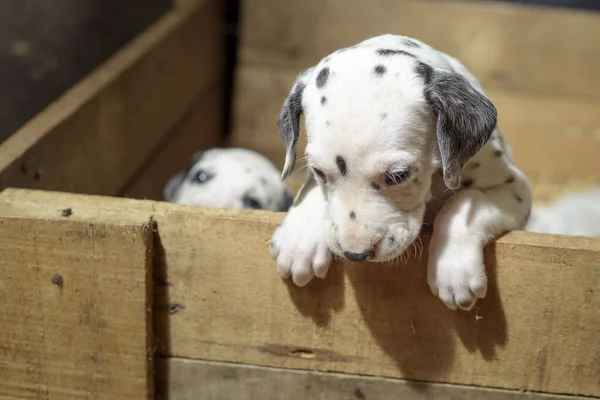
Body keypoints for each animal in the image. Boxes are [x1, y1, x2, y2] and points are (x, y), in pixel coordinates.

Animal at [270, 33, 528, 310]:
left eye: (398, 175)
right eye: (319, 171)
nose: (356, 254)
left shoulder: (516, 190)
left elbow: (465, 200)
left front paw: (454, 269)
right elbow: (311, 189)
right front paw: (299, 238)